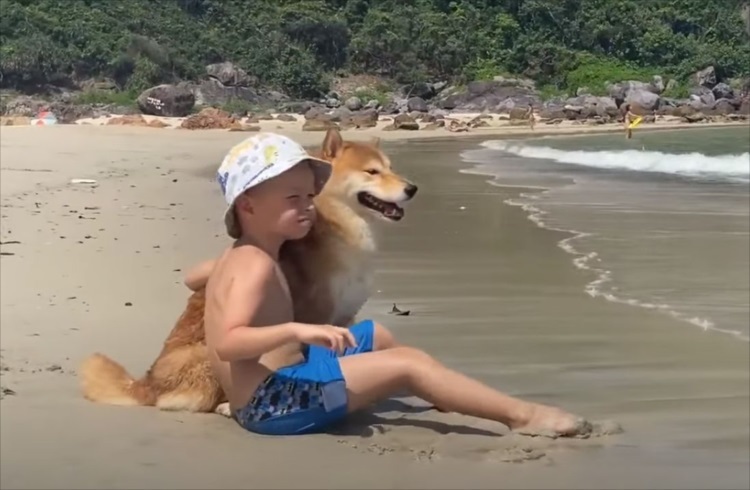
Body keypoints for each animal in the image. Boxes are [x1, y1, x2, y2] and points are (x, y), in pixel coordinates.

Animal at [79, 128, 420, 416]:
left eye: (391, 168)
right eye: (371, 172)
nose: (412, 187)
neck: (340, 231)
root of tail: (145, 384)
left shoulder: (345, 318)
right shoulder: (313, 318)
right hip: (208, 354)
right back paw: (227, 407)